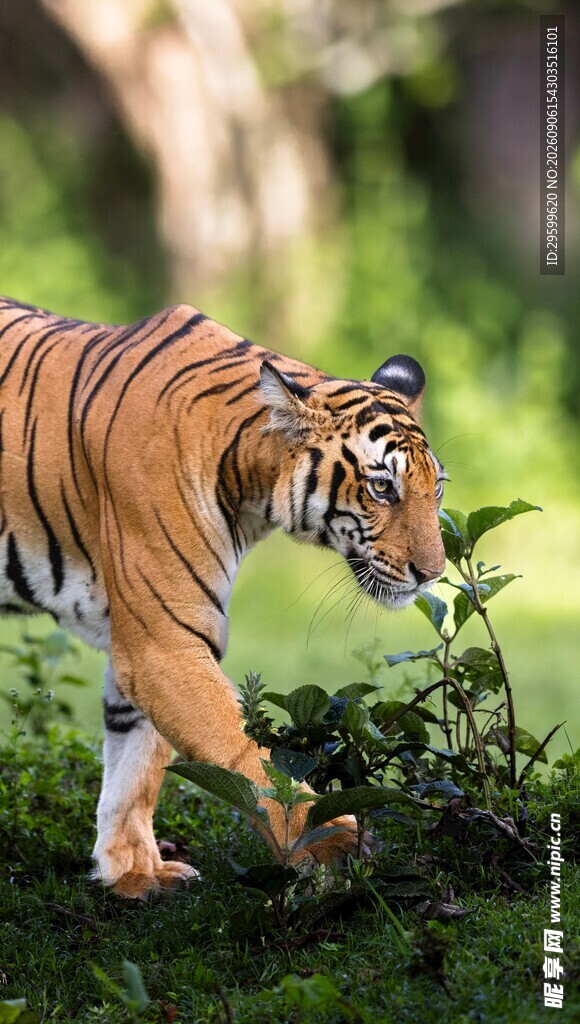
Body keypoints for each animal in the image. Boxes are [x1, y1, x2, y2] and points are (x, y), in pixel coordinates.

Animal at [0, 296, 446, 899]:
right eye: (382, 488)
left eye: (436, 487)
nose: (433, 573)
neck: (250, 483)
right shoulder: (164, 644)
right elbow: (246, 754)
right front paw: (330, 843)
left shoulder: (149, 637)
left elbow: (135, 762)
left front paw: (133, 872)